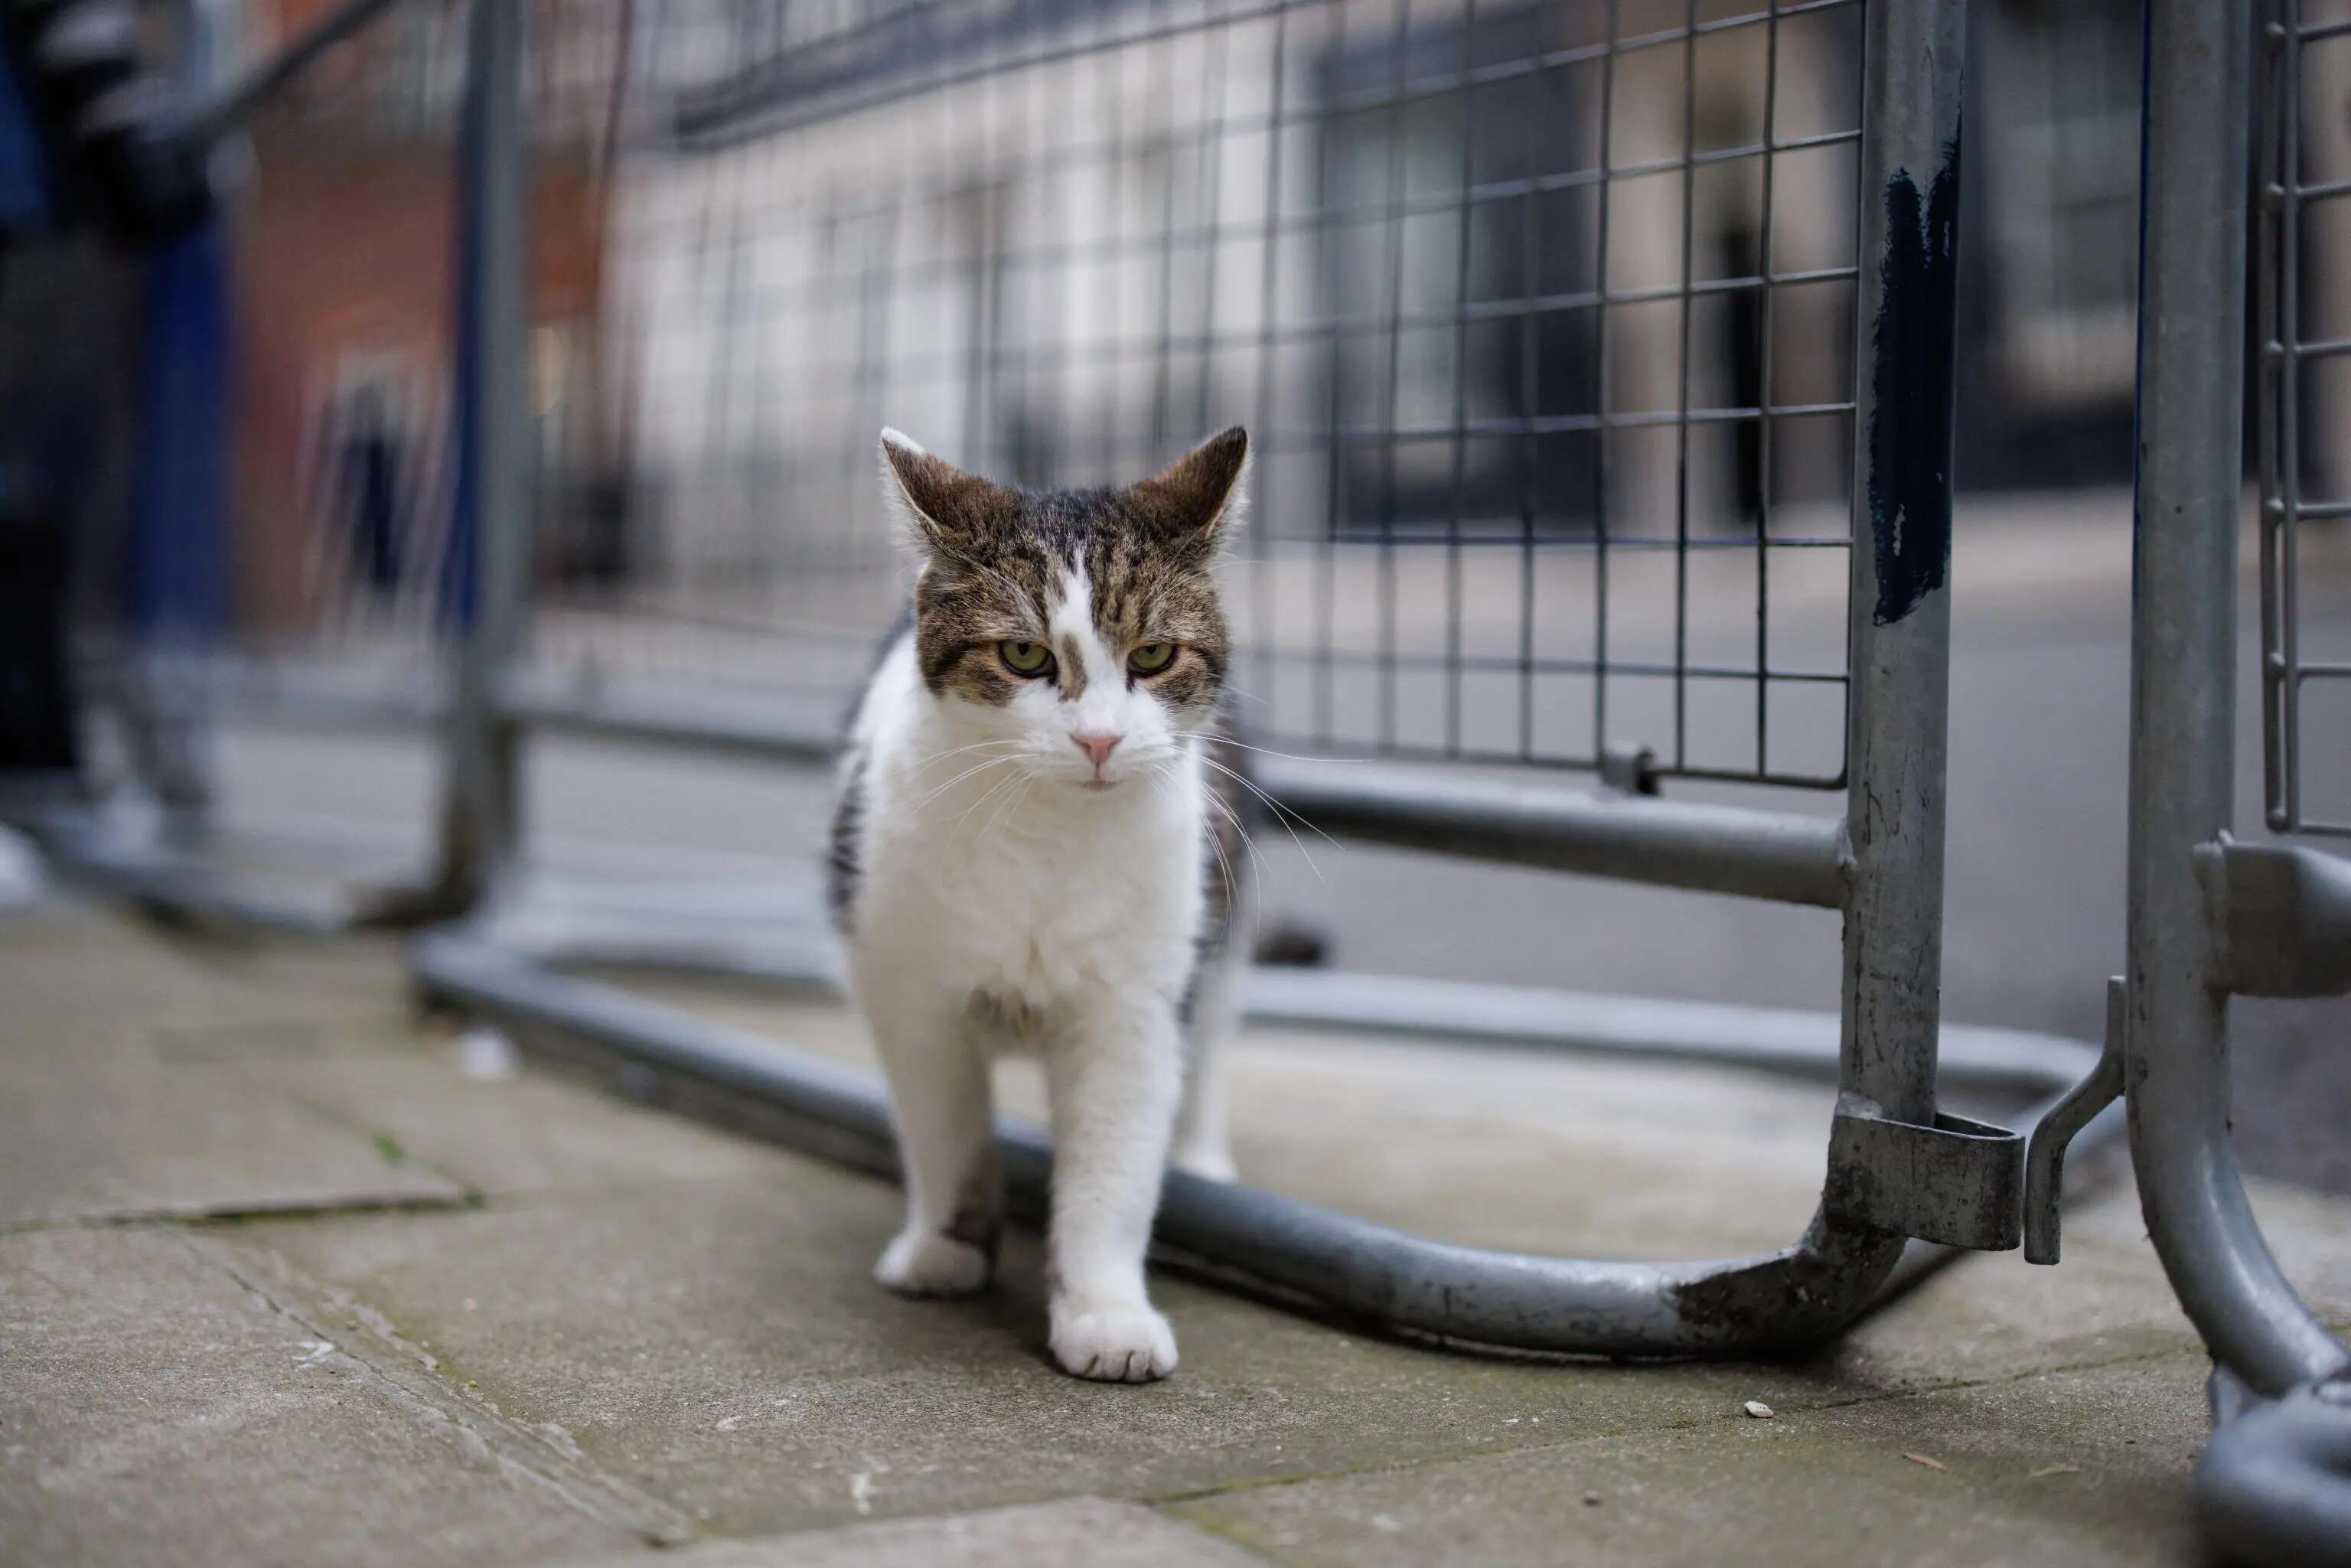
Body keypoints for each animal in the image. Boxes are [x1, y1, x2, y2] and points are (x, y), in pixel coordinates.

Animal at [836, 422, 1260, 1382]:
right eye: (1025, 655)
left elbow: (1114, 1169)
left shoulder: (1134, 1009)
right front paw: (947, 1250)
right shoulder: (911, 993)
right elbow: (945, 1134)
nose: (1099, 740)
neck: (1050, 831)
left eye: (1152, 656)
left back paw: (1206, 1157)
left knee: (1216, 1029)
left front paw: (1105, 1314)